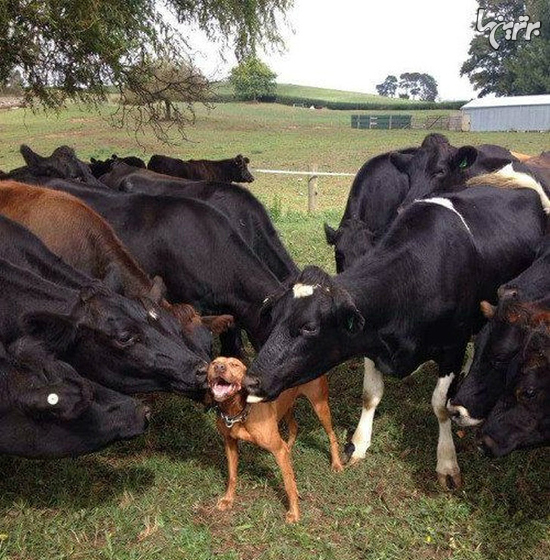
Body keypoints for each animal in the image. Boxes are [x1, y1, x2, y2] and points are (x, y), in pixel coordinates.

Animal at [209, 356, 342, 524]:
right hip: (286, 407)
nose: (219, 367)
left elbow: (288, 485)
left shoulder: (277, 449)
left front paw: (294, 513)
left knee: (331, 435)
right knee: (294, 428)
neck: (238, 412)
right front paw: (228, 499)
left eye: (235, 365)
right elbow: (232, 475)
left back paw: (336, 464)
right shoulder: (230, 443)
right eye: (214, 363)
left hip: (320, 406)